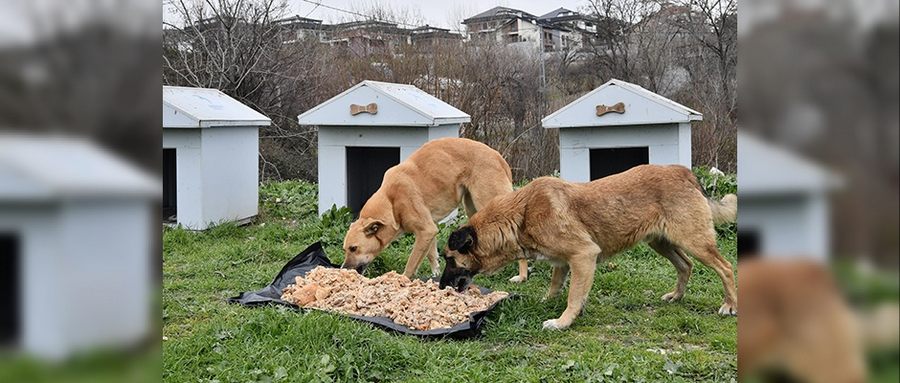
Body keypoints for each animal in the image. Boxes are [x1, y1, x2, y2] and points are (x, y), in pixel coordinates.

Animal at [342, 136, 532, 280]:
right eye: (345, 249)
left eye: (353, 248)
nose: (343, 269)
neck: (391, 201)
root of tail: (498, 157)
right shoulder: (429, 230)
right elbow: (432, 254)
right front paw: (435, 275)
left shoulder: (425, 230)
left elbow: (412, 263)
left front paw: (403, 280)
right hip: (473, 208)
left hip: (489, 204)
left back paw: (522, 276)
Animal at [438, 165, 740, 330]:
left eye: (449, 259)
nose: (440, 288)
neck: (521, 215)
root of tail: (684, 172)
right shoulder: (563, 262)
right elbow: (556, 286)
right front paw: (548, 303)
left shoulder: (583, 256)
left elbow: (573, 295)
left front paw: (562, 322)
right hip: (662, 242)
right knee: (685, 265)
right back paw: (676, 296)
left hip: (695, 242)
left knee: (725, 267)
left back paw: (729, 305)